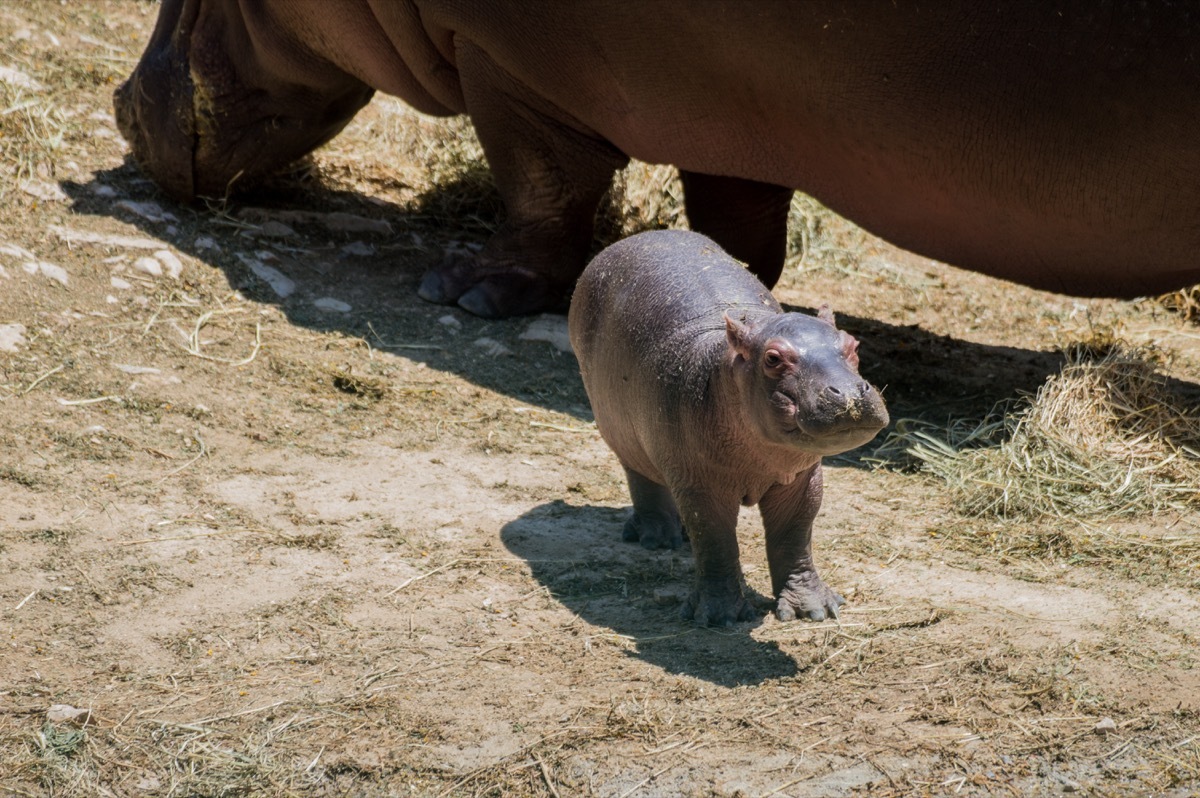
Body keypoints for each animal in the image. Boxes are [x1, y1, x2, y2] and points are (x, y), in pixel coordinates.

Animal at [114, 3, 1200, 321]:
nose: (120, 106)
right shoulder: (742, 107)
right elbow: (741, 222)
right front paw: (726, 294)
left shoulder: (511, 66)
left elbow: (541, 187)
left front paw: (466, 288)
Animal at [566, 234, 888, 624]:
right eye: (773, 358)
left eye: (852, 344)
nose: (849, 394)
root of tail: (631, 240)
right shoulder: (701, 484)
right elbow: (715, 539)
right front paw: (720, 616)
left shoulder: (802, 477)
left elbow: (795, 533)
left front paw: (814, 610)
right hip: (620, 431)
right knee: (641, 478)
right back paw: (657, 537)